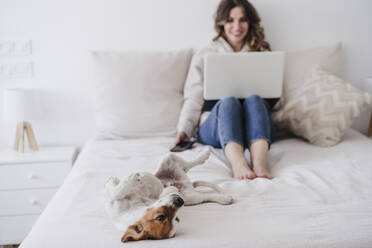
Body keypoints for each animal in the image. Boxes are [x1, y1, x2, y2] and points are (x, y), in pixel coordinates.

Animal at [104, 149, 232, 242]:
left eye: (176, 218)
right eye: (161, 217)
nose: (180, 201)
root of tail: (186, 182)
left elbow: (115, 189)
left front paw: (120, 180)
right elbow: (115, 192)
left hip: (168, 159)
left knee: (188, 165)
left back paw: (204, 154)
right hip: (191, 197)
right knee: (206, 195)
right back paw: (224, 198)